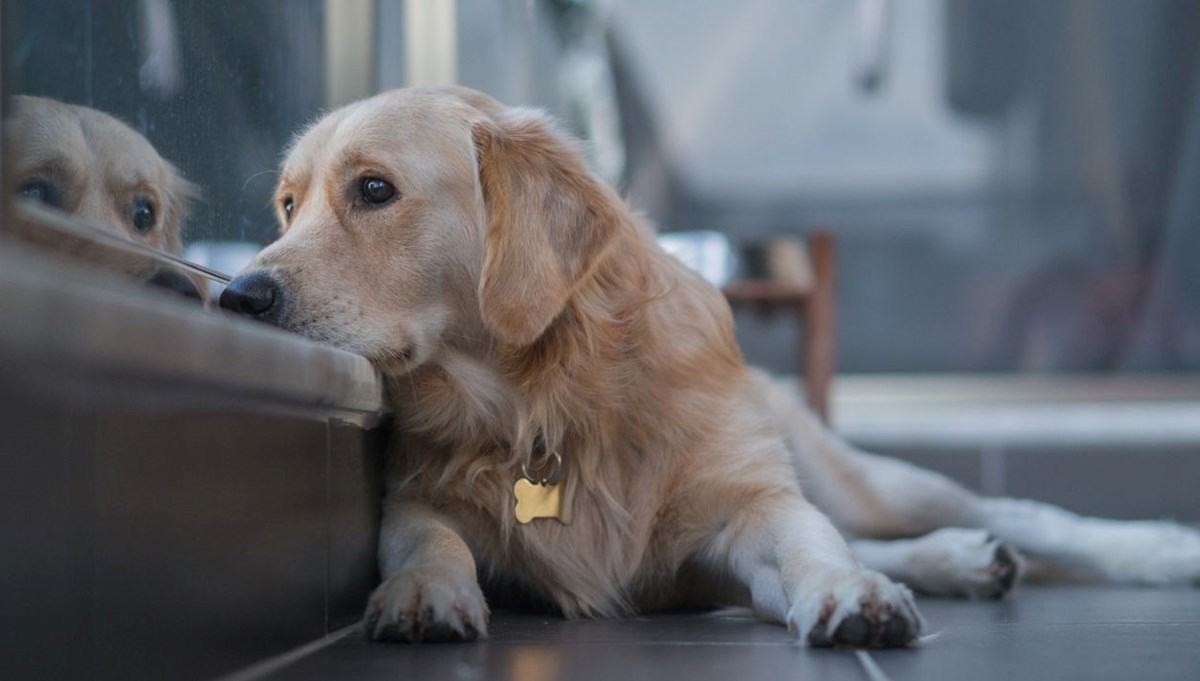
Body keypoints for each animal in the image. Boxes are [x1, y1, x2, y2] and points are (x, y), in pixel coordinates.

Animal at [218, 86, 1200, 647]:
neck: (544, 399)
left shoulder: (746, 505)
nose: (238, 296)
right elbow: (430, 539)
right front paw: (423, 592)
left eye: (374, 190)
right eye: (288, 204)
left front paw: (849, 592)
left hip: (857, 475)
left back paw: (1149, 548)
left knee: (1006, 511)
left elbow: (808, 543)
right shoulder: (416, 495)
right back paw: (959, 560)